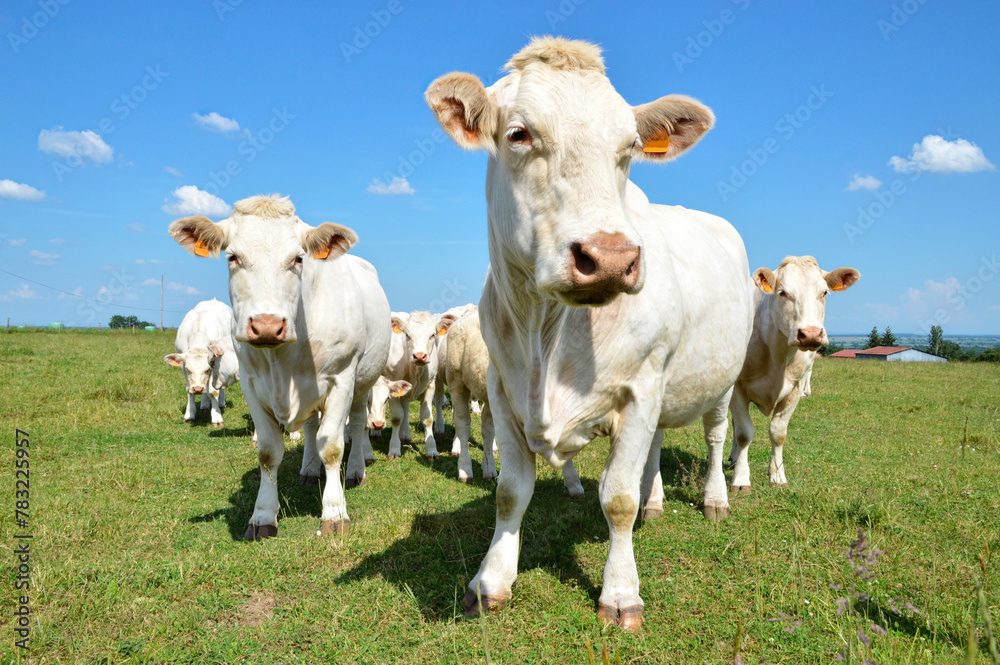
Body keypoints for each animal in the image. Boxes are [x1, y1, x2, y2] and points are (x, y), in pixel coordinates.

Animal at [168, 192, 390, 540]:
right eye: (233, 257)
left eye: (298, 259)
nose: (267, 325)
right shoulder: (252, 385)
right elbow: (269, 452)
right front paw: (262, 516)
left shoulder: (341, 380)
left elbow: (333, 447)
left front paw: (334, 512)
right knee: (312, 428)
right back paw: (310, 470)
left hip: (363, 381)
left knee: (354, 424)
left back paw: (355, 470)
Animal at [382, 310, 454, 456]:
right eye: (407, 335)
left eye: (432, 335)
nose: (419, 356)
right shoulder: (392, 382)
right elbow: (396, 417)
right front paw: (394, 449)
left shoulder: (430, 385)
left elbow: (427, 418)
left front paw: (431, 449)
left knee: (405, 408)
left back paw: (404, 434)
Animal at [426, 36, 752, 628]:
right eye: (519, 133)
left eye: (630, 147)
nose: (611, 257)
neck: (546, 333)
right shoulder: (502, 390)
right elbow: (511, 491)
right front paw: (491, 580)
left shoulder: (640, 387)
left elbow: (616, 498)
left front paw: (620, 593)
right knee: (655, 446)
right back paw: (655, 500)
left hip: (721, 379)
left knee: (717, 438)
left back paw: (715, 497)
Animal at [728, 256, 860, 490]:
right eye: (782, 292)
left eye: (825, 292)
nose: (811, 333)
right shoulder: (737, 387)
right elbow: (744, 433)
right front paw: (742, 479)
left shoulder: (796, 387)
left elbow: (778, 432)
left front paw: (777, 476)